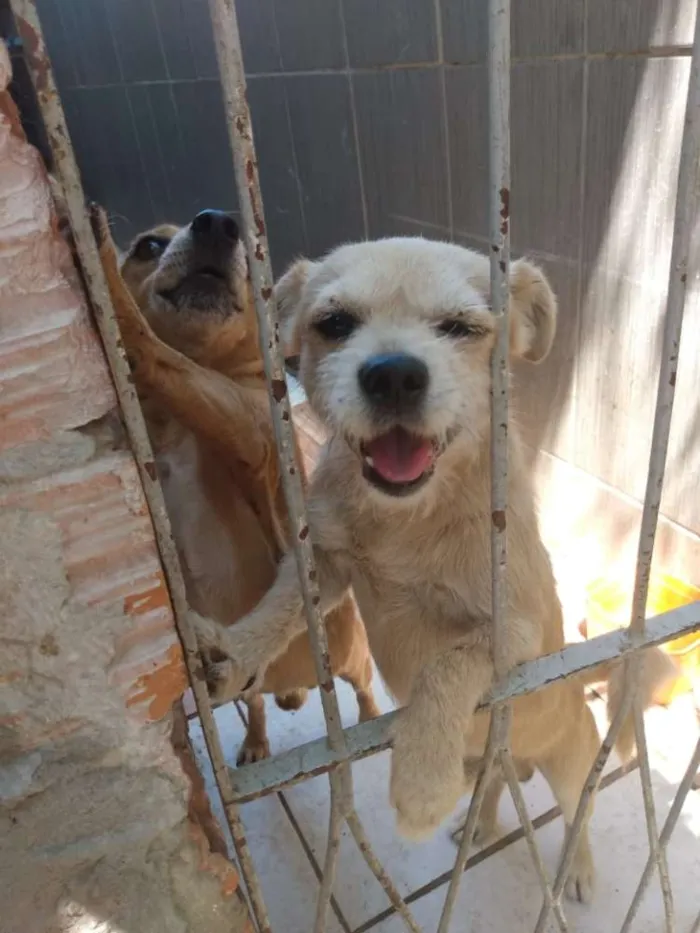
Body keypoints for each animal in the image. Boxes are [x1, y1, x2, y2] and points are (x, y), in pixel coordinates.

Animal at [88, 205, 380, 765]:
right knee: (258, 701)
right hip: (237, 682)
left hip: (350, 653)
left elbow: (168, 361)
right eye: (148, 247)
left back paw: (370, 722)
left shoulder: (249, 429)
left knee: (362, 686)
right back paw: (259, 736)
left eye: (244, 245)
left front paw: (107, 281)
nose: (218, 222)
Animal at [192, 235, 675, 902]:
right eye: (334, 324)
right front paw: (235, 653)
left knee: (580, 811)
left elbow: (448, 666)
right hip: (498, 757)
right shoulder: (323, 564)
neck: (409, 519)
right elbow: (279, 605)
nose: (394, 373)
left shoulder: (515, 633)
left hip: (572, 767)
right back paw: (482, 822)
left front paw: (421, 784)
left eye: (461, 328)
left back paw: (575, 868)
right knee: (494, 778)